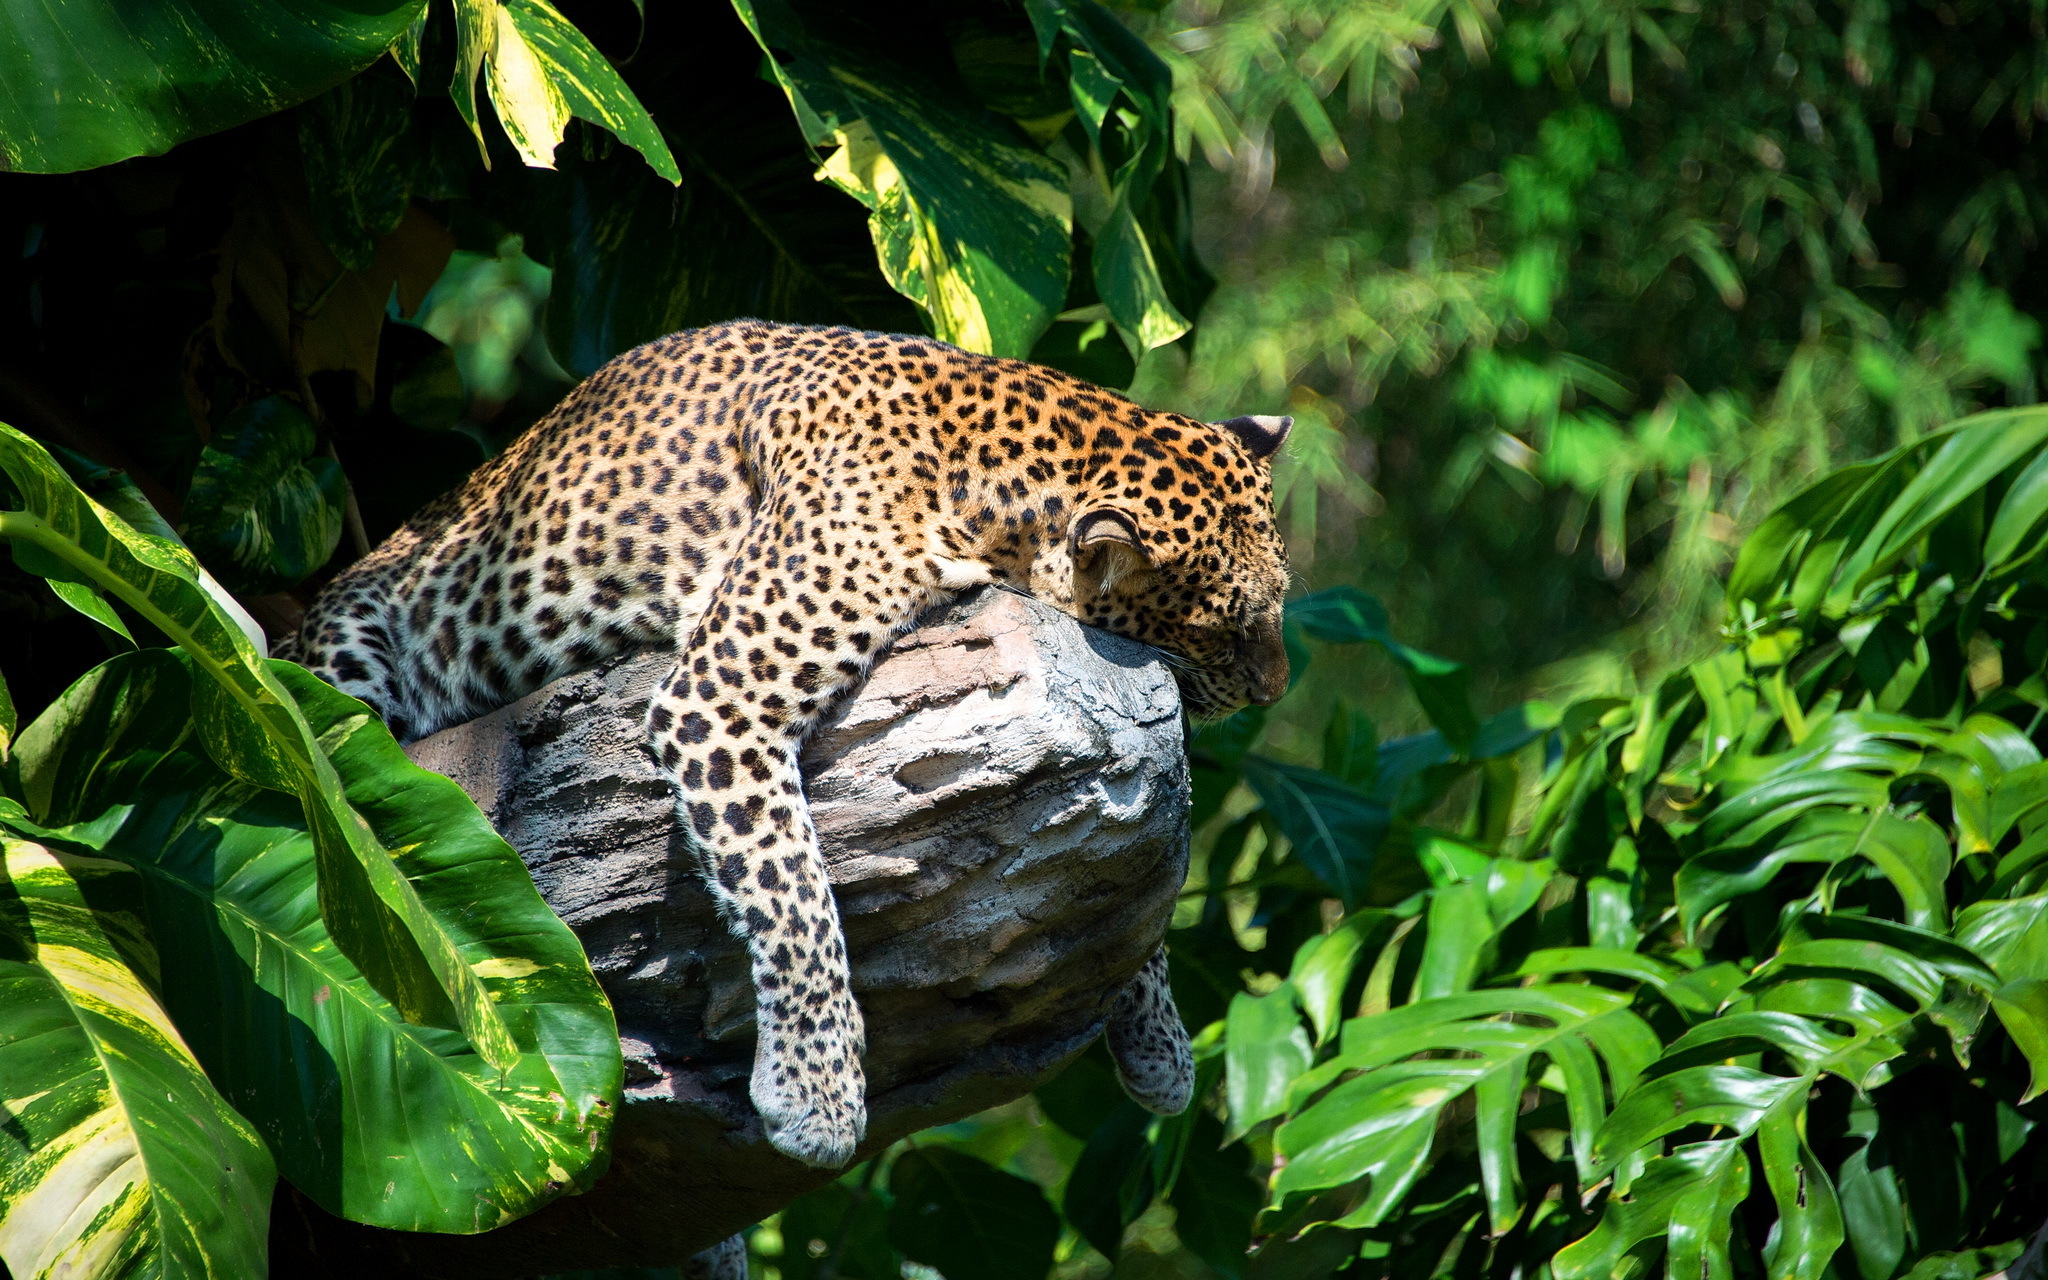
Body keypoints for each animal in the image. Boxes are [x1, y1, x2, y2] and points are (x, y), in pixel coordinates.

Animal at [288, 317, 1286, 1171]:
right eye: (1232, 631)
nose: (1276, 689)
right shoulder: (721, 698)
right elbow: (791, 888)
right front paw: (819, 1093)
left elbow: (1130, 880)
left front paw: (1158, 1041)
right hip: (345, 664)